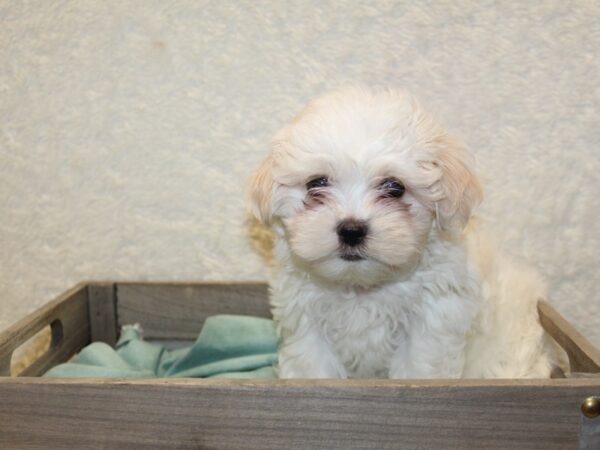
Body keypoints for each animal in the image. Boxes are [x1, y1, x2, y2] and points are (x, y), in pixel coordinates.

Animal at [246, 86, 560, 378]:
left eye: (394, 187)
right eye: (316, 183)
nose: (351, 230)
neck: (361, 287)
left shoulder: (432, 322)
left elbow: (419, 369)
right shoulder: (306, 320)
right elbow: (313, 368)